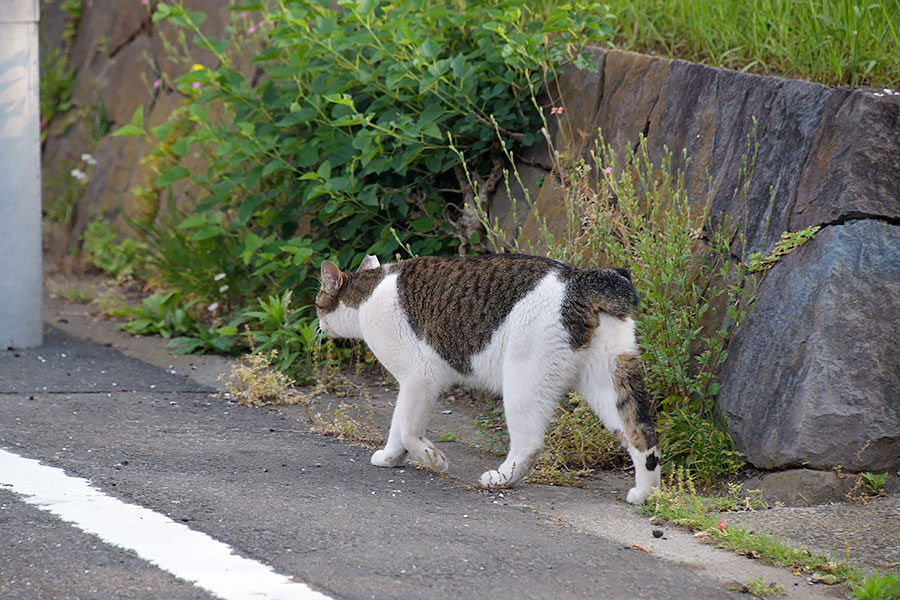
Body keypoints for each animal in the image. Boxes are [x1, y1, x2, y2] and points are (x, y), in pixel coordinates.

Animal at [316, 251, 660, 504]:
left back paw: (501, 479)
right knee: (641, 435)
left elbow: (408, 428)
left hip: (524, 379)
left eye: (318, 302)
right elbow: (398, 425)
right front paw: (391, 456)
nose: (318, 324)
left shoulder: (420, 378)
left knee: (529, 443)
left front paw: (433, 458)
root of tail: (581, 278)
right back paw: (645, 494)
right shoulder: (411, 385)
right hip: (610, 380)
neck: (368, 292)